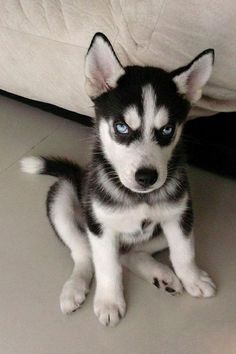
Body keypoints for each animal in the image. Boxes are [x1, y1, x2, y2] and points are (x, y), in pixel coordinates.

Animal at [21, 32, 217, 326]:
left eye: (167, 130)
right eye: (121, 127)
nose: (147, 177)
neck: (140, 197)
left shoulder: (179, 214)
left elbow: (184, 251)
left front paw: (192, 278)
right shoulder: (101, 227)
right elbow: (107, 266)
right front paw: (109, 301)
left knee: (130, 255)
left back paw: (162, 275)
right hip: (62, 201)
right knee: (84, 254)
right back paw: (75, 287)